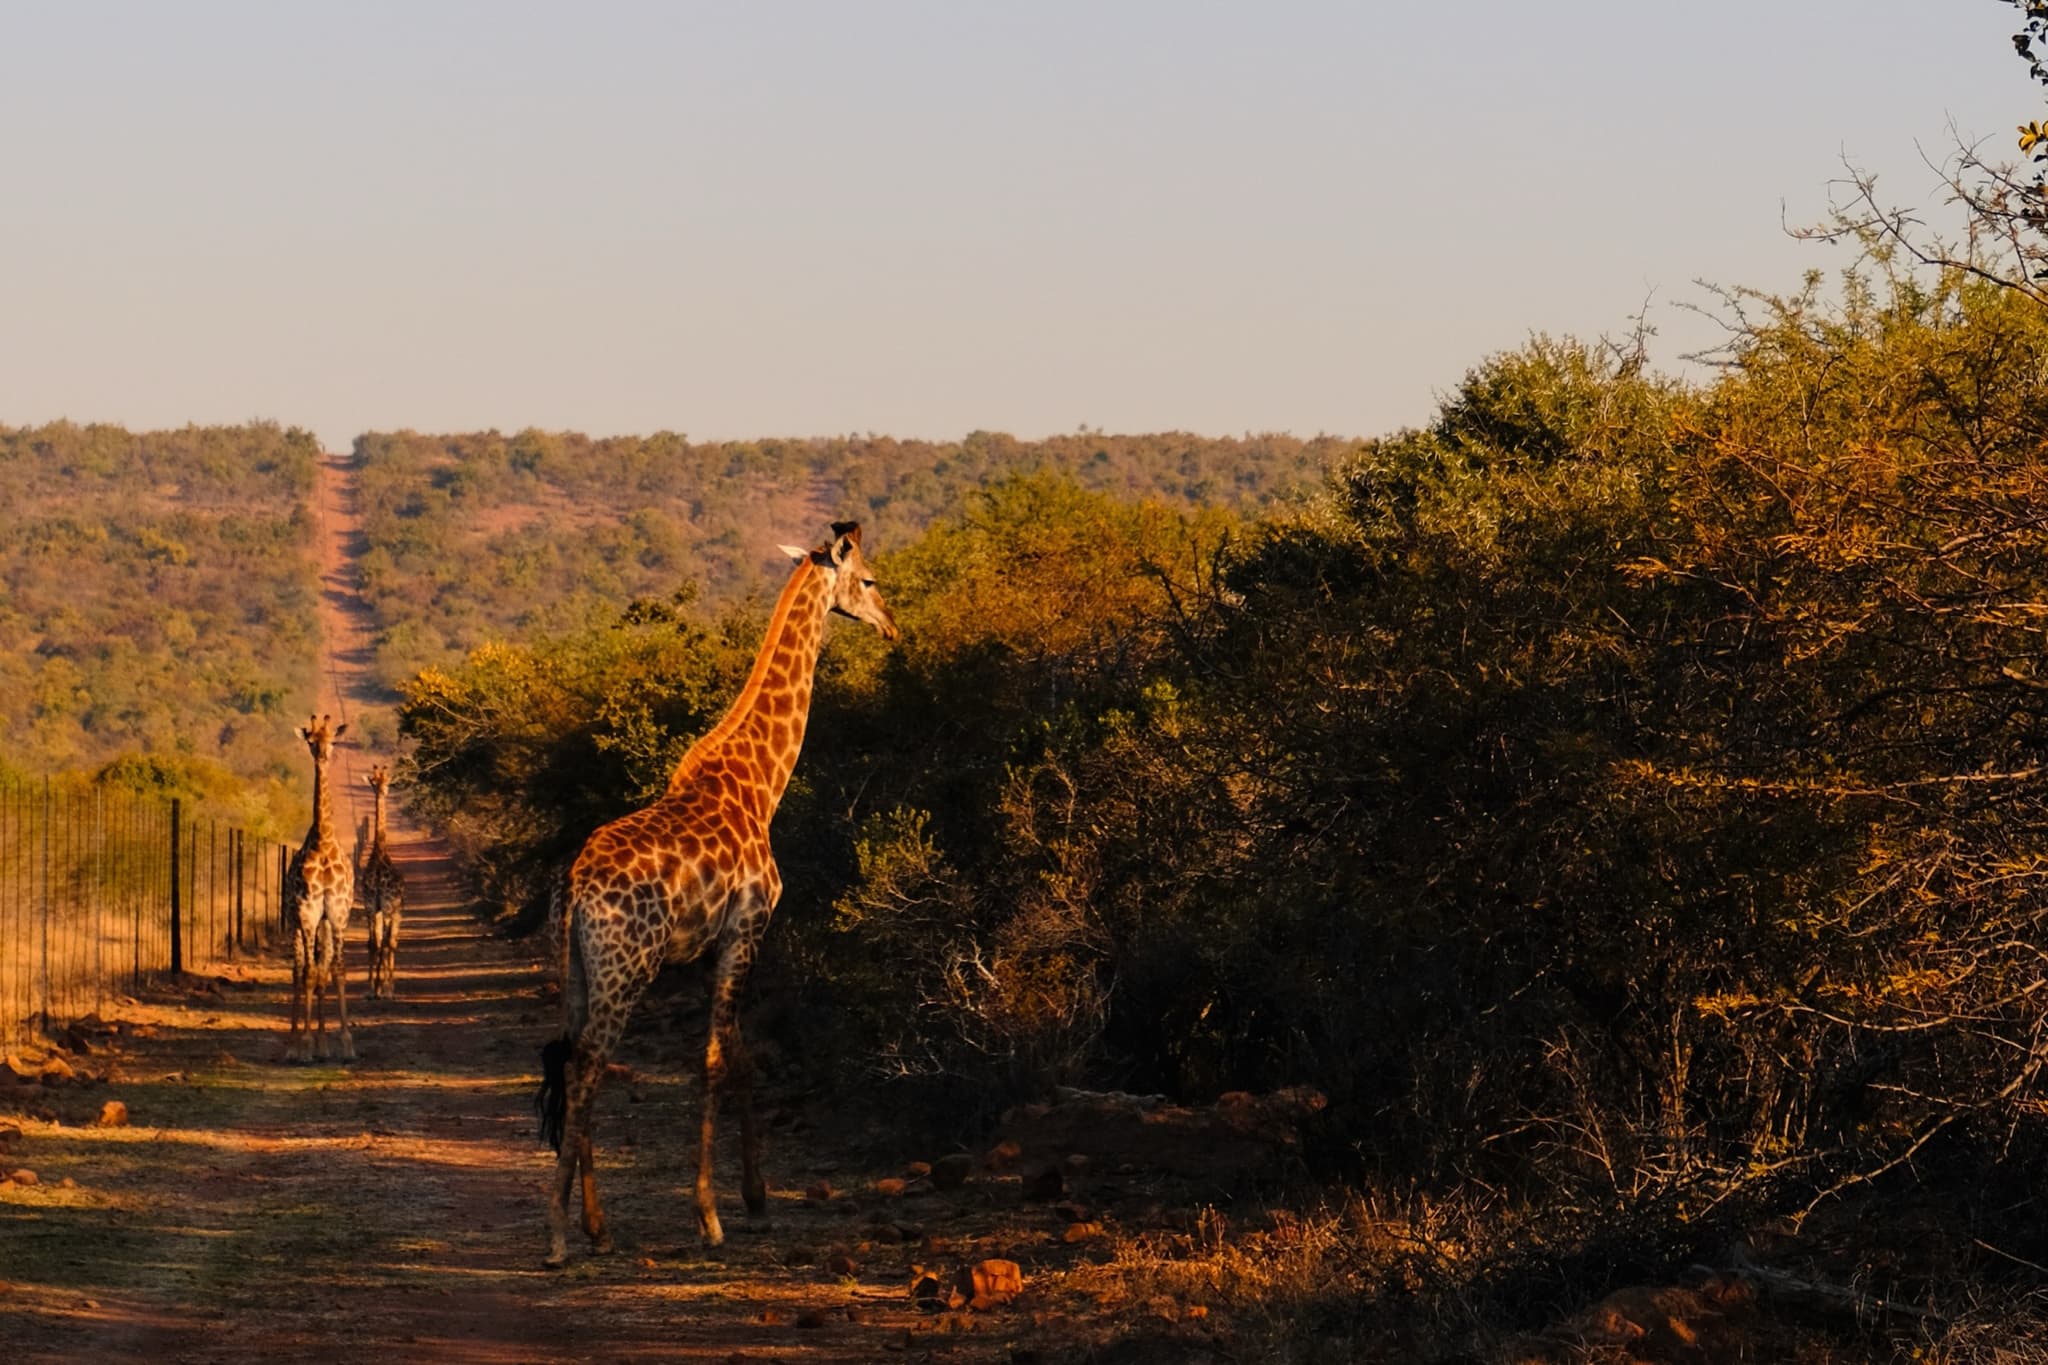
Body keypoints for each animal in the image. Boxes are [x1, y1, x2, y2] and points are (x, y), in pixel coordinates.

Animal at [536, 521, 898, 1268]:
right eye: (870, 580)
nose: (892, 627)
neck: (760, 784)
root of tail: (576, 887)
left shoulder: (715, 944)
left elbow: (736, 1055)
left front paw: (755, 1200)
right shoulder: (746, 930)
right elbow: (714, 1060)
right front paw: (713, 1214)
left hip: (576, 969)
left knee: (572, 1057)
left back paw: (597, 1226)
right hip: (625, 968)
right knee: (586, 1066)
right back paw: (559, 1235)